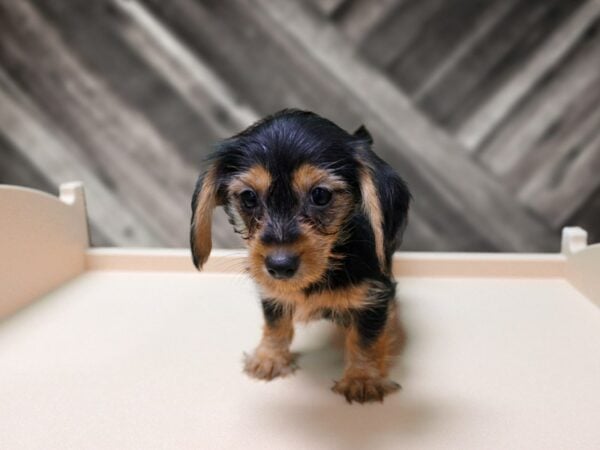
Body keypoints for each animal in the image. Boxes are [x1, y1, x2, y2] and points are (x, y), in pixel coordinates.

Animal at [190, 110, 410, 404]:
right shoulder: (272, 293)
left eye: (320, 195)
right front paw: (270, 357)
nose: (279, 266)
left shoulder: (373, 298)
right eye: (248, 197)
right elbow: (275, 324)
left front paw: (362, 379)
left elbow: (366, 339)